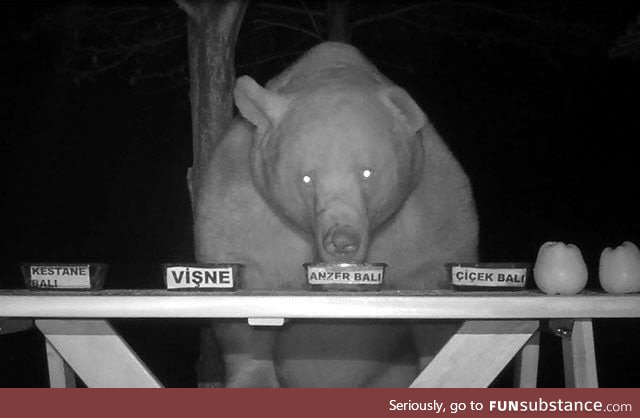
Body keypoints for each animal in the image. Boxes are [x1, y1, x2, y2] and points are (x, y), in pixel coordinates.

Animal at [192, 42, 478, 388]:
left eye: (367, 172)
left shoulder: (428, 211)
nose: (342, 241)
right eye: (306, 178)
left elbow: (434, 297)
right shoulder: (245, 206)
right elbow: (245, 303)